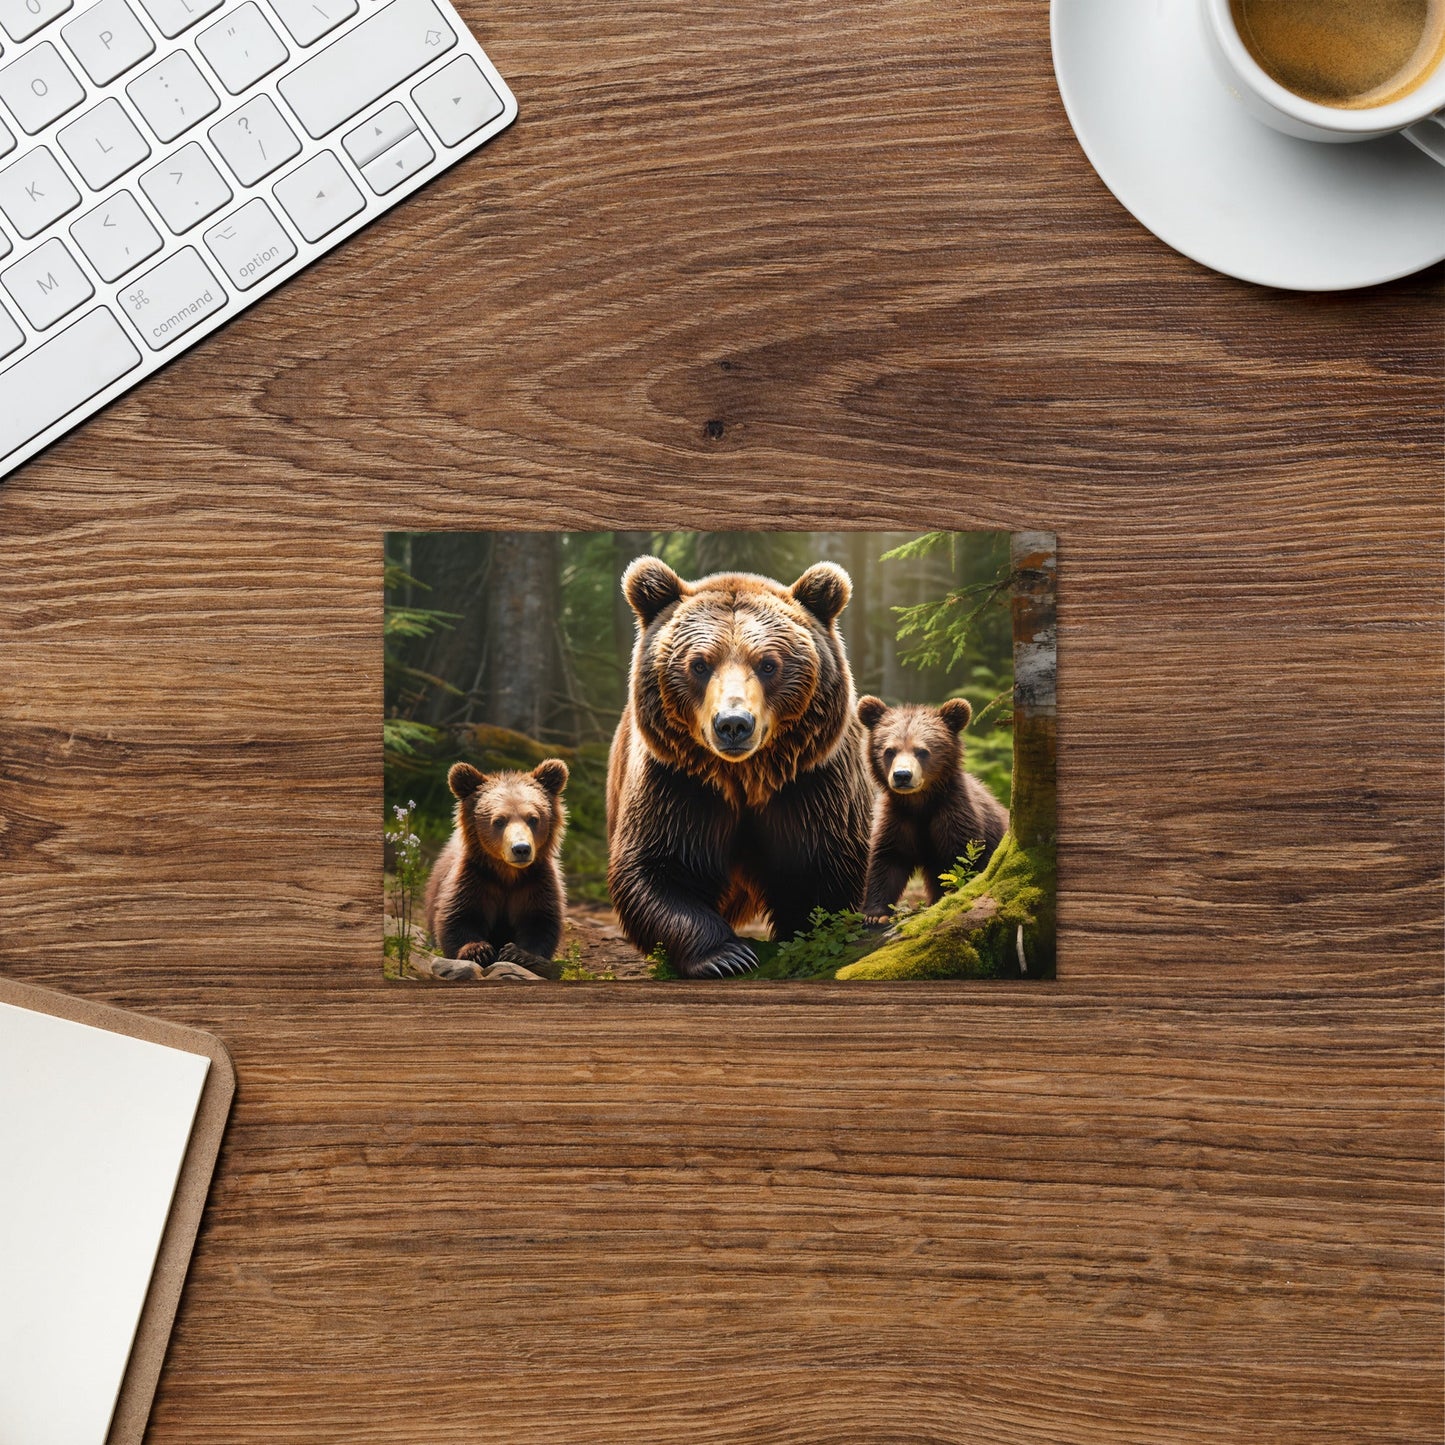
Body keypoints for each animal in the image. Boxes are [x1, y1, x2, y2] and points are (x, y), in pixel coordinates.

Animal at [423, 759, 569, 980]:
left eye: (533, 818)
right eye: (499, 820)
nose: (521, 848)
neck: (507, 873)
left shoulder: (536, 881)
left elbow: (541, 920)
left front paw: (518, 953)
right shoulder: (475, 878)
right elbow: (458, 916)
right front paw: (478, 950)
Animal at [606, 556, 875, 979]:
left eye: (768, 664)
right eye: (699, 664)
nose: (733, 723)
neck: (745, 776)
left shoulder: (812, 783)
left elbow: (823, 868)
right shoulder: (677, 782)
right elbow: (656, 868)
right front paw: (727, 955)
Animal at [855, 696, 1009, 924]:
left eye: (922, 751)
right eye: (889, 750)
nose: (902, 775)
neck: (920, 802)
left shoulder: (954, 814)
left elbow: (960, 863)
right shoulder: (898, 818)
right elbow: (888, 860)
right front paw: (875, 914)